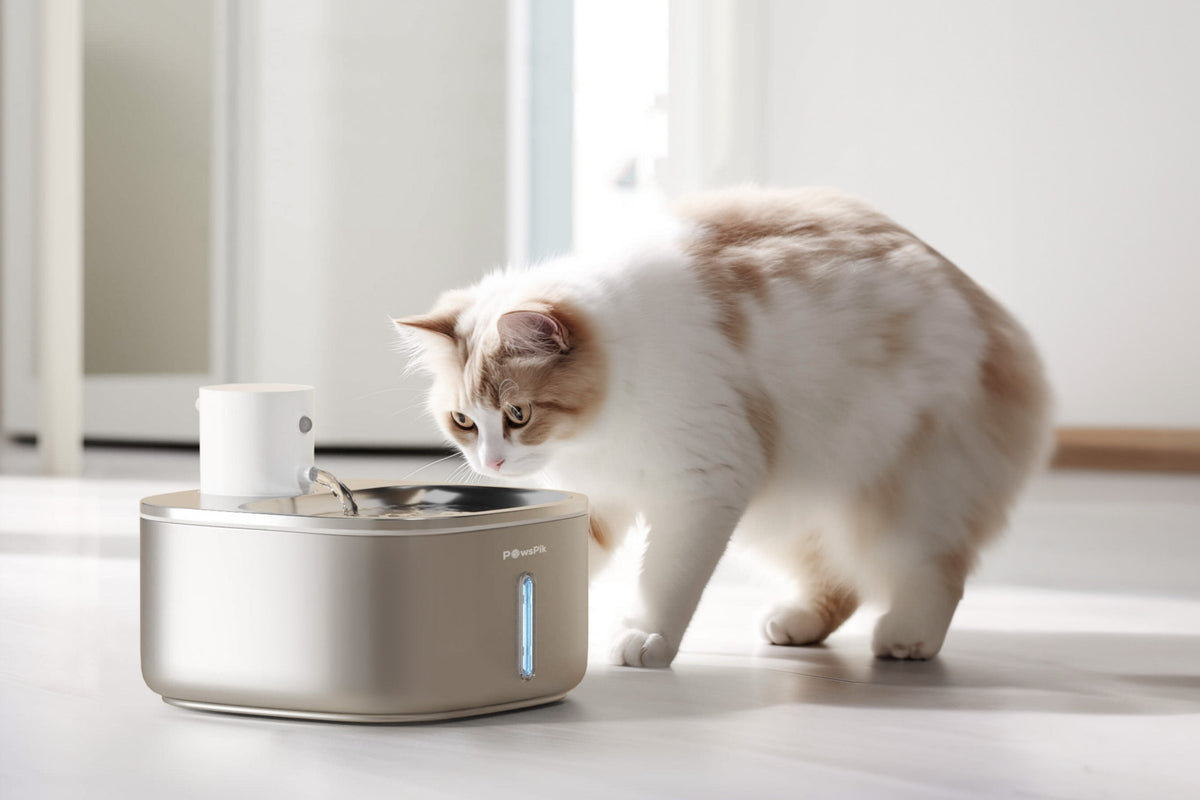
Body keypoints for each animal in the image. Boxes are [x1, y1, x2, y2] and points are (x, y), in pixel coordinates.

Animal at [393, 188, 1051, 671]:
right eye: (463, 422)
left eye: (518, 416)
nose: (492, 464)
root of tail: (995, 319)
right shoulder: (597, 498)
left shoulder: (704, 482)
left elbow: (664, 578)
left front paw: (644, 639)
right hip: (794, 508)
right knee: (839, 580)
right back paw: (796, 624)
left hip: (903, 495)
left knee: (935, 571)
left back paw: (909, 639)